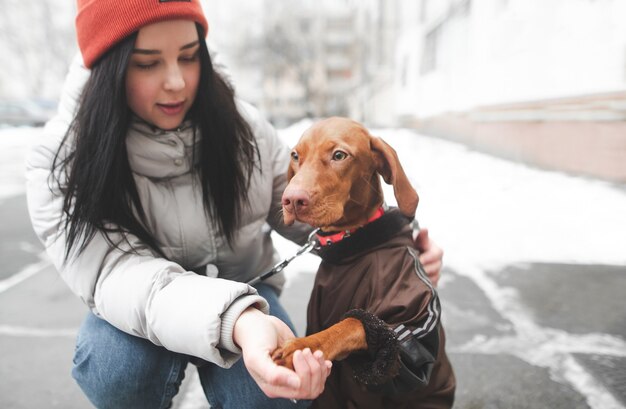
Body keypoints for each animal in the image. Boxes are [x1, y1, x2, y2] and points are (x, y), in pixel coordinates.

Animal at [272, 116, 454, 406]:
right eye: (295, 156)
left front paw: (303, 346)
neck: (351, 245)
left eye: (339, 155)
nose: (291, 200)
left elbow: (353, 324)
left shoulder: (412, 325)